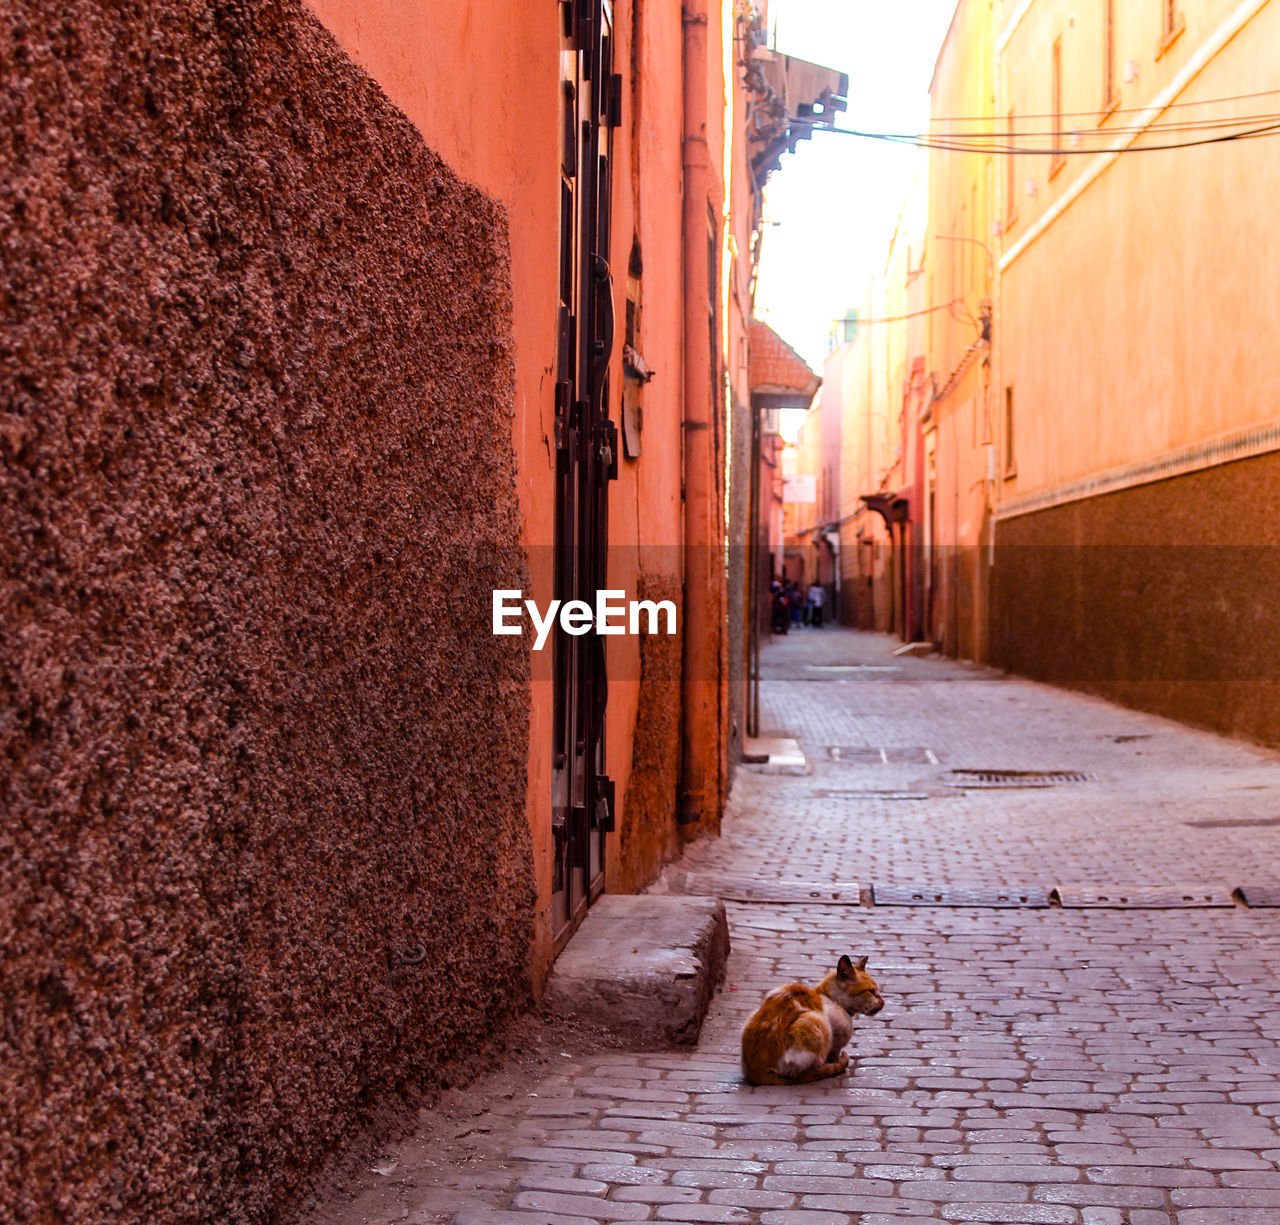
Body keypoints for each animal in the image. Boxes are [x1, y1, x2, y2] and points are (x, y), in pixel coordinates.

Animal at [737, 952, 885, 1085]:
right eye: (871, 991)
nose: (883, 1002)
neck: (831, 999)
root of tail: (756, 1073)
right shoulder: (836, 1038)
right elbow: (835, 1055)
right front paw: (835, 1064)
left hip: (753, 1013)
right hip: (815, 1021)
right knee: (799, 1074)